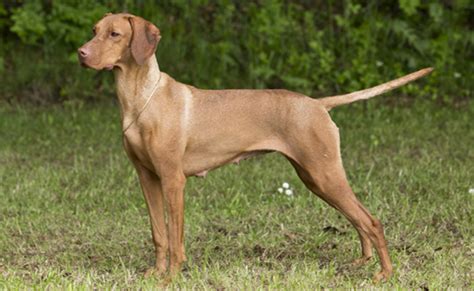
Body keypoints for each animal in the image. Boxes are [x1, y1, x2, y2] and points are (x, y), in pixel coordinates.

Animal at [78, 12, 434, 282]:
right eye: (94, 31)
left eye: (114, 34)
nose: (81, 53)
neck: (141, 99)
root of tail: (317, 104)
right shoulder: (147, 178)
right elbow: (159, 234)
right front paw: (156, 273)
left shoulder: (173, 180)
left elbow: (175, 237)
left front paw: (172, 277)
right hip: (316, 178)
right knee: (358, 218)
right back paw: (363, 261)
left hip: (325, 174)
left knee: (371, 221)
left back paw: (384, 273)